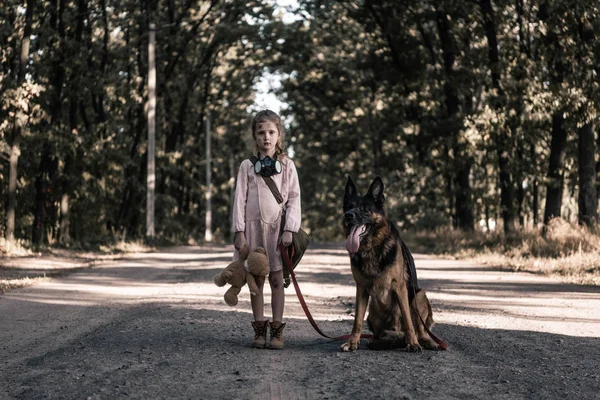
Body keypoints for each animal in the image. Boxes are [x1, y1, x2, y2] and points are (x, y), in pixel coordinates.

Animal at [342, 177, 440, 352]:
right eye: (348, 207)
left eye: (365, 208)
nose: (348, 216)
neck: (372, 247)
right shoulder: (361, 288)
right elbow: (357, 320)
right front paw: (352, 342)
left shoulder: (399, 286)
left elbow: (408, 321)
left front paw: (413, 343)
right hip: (373, 309)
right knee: (376, 335)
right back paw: (381, 341)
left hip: (418, 296)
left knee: (420, 329)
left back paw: (425, 341)